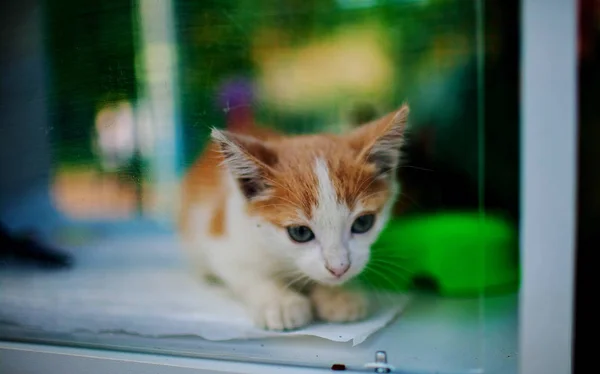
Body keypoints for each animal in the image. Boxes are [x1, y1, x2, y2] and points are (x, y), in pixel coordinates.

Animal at [178, 103, 410, 328]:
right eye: (299, 232)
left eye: (363, 223)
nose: (339, 268)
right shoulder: (224, 240)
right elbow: (247, 274)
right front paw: (280, 301)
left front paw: (338, 295)